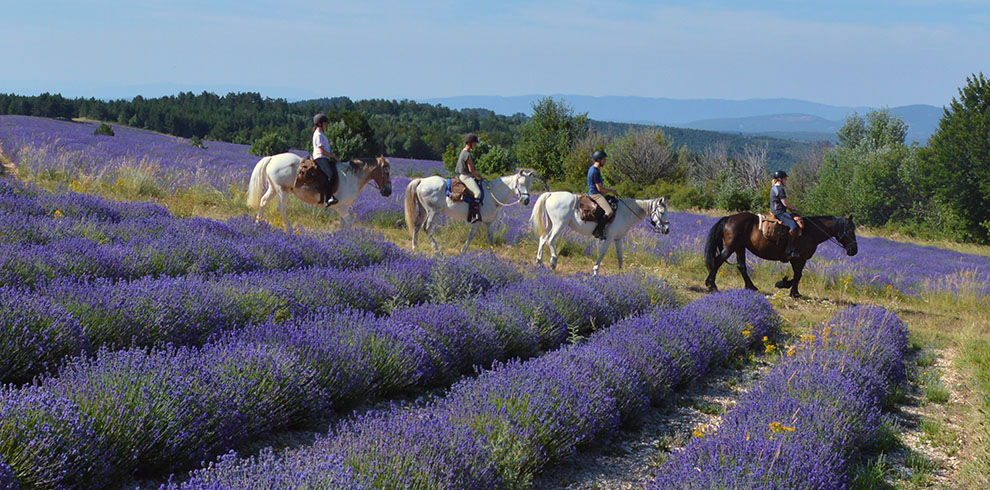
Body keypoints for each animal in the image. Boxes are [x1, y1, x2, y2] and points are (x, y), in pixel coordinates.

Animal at [244, 152, 392, 233]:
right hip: (282, 190)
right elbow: (349, 222)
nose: (388, 191)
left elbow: (344, 223)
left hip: (273, 188)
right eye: (386, 172)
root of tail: (272, 158)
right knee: (281, 208)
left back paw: (257, 224)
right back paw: (290, 229)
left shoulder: (342, 207)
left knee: (263, 202)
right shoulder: (341, 206)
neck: (351, 177)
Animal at [404, 169, 540, 255]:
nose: (526, 200)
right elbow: (471, 236)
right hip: (433, 212)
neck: (492, 195)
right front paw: (463, 252)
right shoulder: (477, 221)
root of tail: (422, 181)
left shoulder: (490, 223)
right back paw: (437, 250)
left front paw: (493, 258)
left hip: (423, 210)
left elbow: (490, 239)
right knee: (426, 227)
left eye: (530, 184)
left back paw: (415, 248)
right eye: (520, 183)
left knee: (417, 225)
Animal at [532, 192, 672, 276]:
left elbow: (620, 256)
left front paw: (622, 274)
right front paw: (595, 271)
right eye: (661, 212)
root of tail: (551, 194)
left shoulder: (618, 239)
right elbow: (602, 253)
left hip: (551, 224)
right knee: (550, 240)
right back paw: (553, 262)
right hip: (559, 224)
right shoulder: (609, 238)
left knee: (543, 239)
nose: (666, 229)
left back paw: (539, 262)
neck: (625, 212)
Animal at [704, 212, 860, 296]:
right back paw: (712, 285)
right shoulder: (799, 258)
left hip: (740, 248)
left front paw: (788, 287)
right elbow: (798, 275)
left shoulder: (796, 260)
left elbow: (797, 275)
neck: (810, 231)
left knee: (741, 266)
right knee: (718, 261)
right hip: (731, 247)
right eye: (849, 230)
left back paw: (751, 286)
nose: (854, 250)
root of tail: (729, 218)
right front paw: (790, 289)